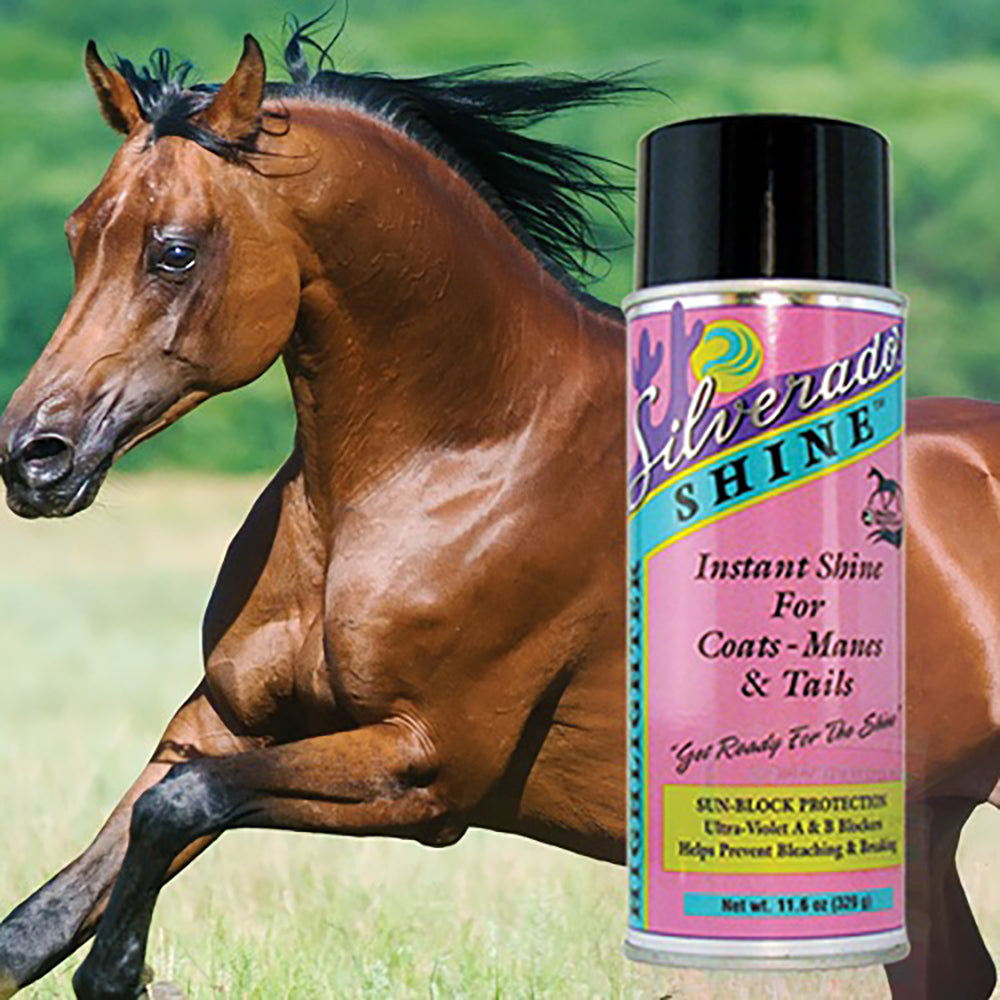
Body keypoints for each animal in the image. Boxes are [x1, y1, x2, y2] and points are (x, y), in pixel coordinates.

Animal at [0, 23, 996, 1000]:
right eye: (77, 233)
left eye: (174, 250)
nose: (33, 458)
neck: (457, 455)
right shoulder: (221, 723)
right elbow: (46, 915)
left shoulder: (426, 766)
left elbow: (181, 807)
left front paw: (125, 970)